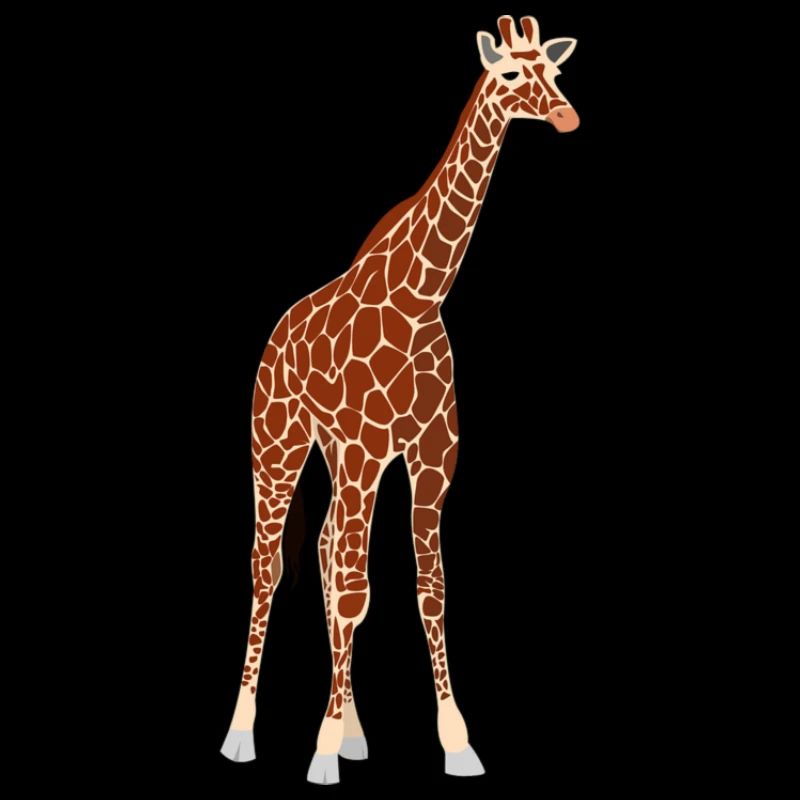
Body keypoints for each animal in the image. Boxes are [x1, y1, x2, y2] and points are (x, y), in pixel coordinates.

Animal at [221, 14, 579, 784]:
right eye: (511, 74)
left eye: (558, 72)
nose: (566, 116)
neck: (421, 297)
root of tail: (274, 336)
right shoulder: (364, 447)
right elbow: (355, 590)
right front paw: (321, 752)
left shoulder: (431, 456)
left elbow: (428, 590)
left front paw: (456, 742)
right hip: (280, 441)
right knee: (273, 567)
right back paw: (242, 732)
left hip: (338, 454)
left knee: (327, 547)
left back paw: (354, 731)